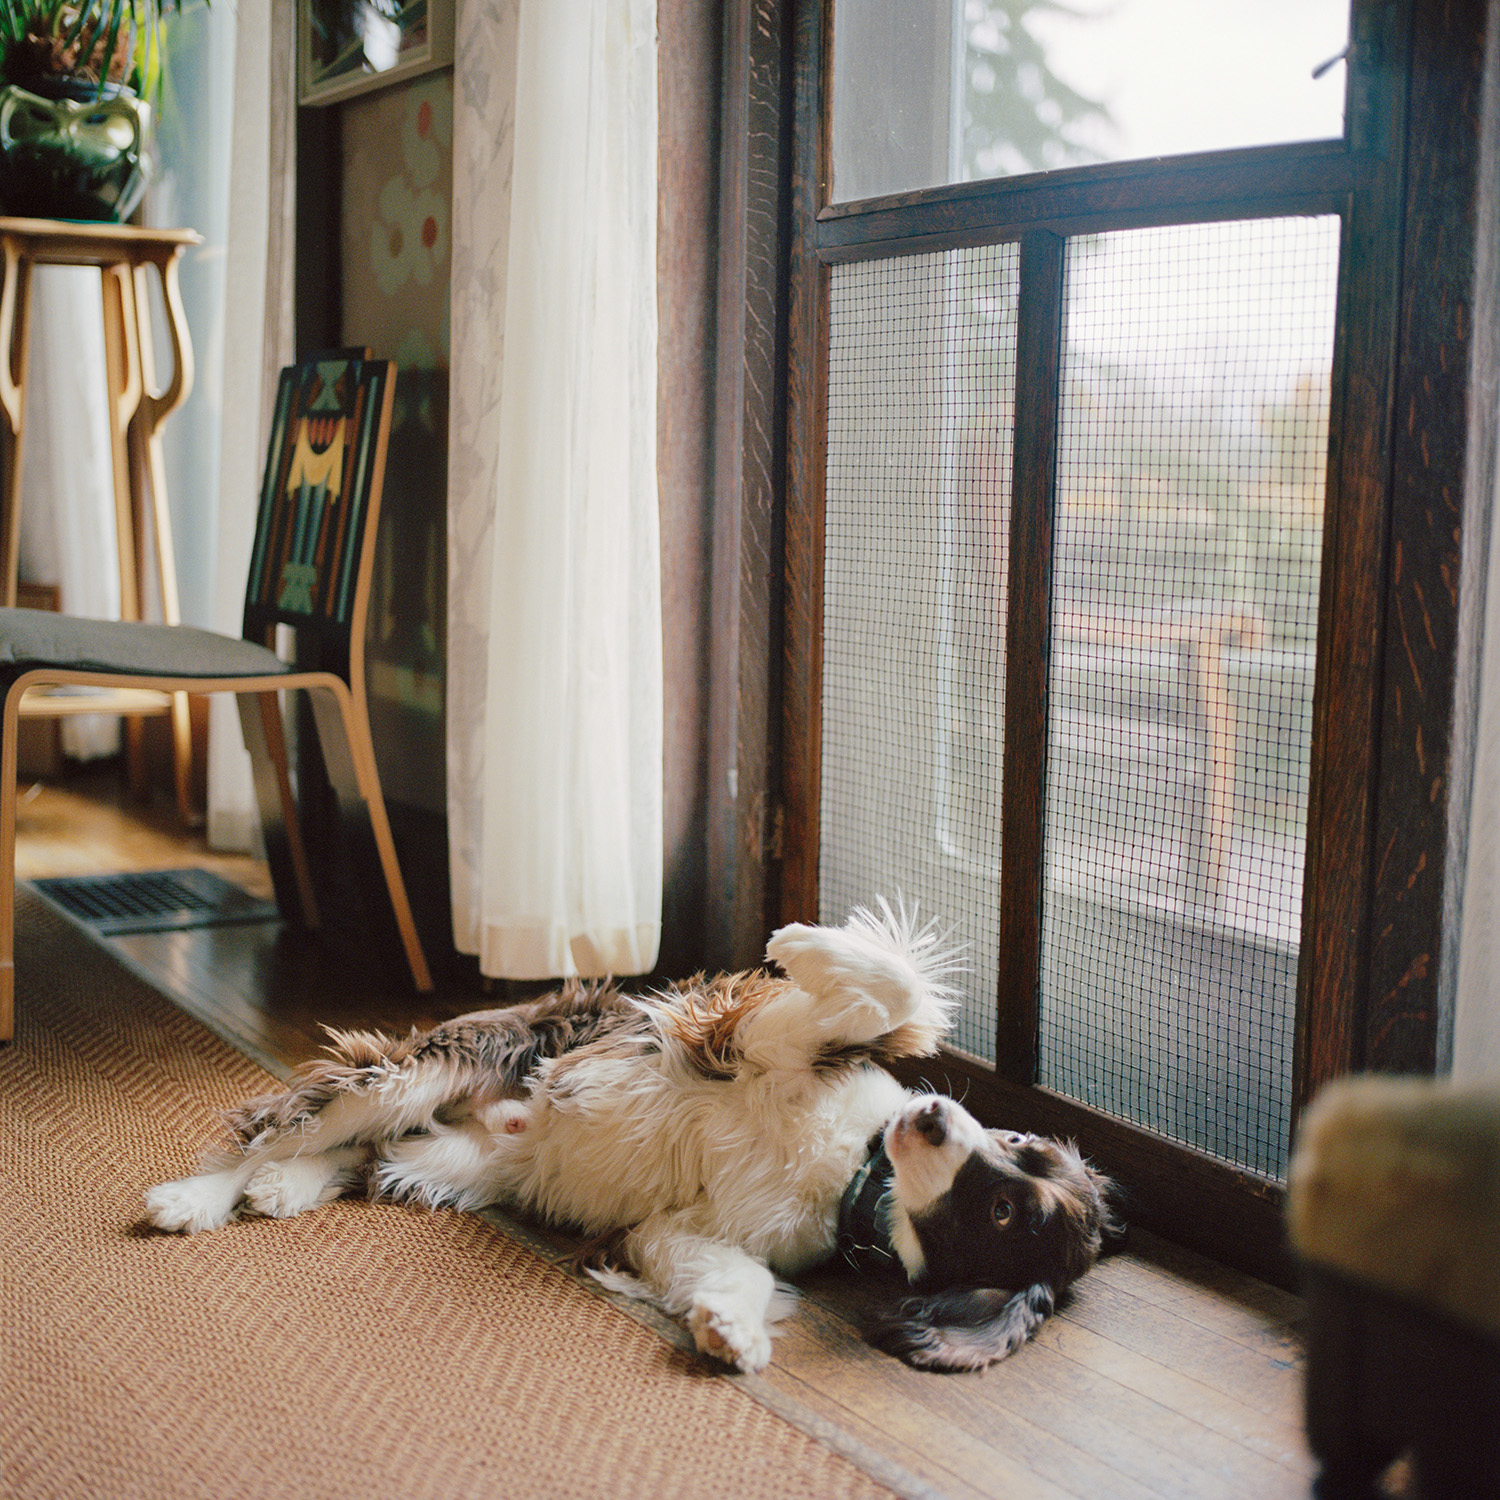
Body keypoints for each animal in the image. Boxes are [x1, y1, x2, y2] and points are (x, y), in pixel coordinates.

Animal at [146, 894, 1122, 1374]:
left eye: (1003, 1214)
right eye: (1023, 1146)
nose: (931, 1116)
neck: (855, 1171)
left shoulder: (689, 1230)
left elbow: (733, 1273)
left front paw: (732, 1332)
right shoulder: (749, 1036)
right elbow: (894, 992)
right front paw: (800, 939)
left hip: (452, 1160)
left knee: (351, 1151)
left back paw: (281, 1190)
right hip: (431, 1067)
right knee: (277, 1126)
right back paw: (195, 1198)